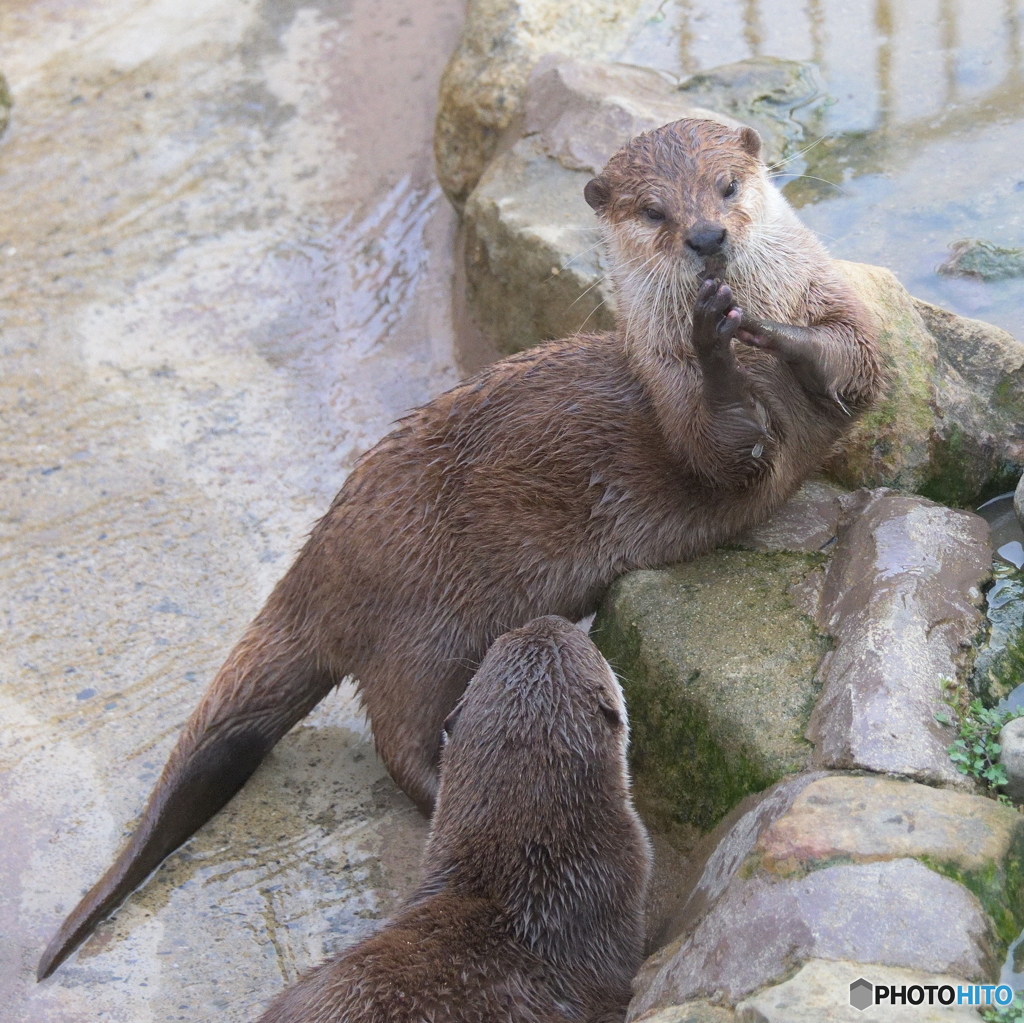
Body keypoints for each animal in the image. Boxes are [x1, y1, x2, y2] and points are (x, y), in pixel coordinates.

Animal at [39, 116, 884, 978]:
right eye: (654, 210)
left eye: (725, 186)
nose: (707, 237)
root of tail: (317, 561)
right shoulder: (680, 406)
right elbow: (720, 442)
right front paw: (713, 335)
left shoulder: (838, 328)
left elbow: (856, 359)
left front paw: (770, 330)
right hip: (422, 630)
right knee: (398, 739)